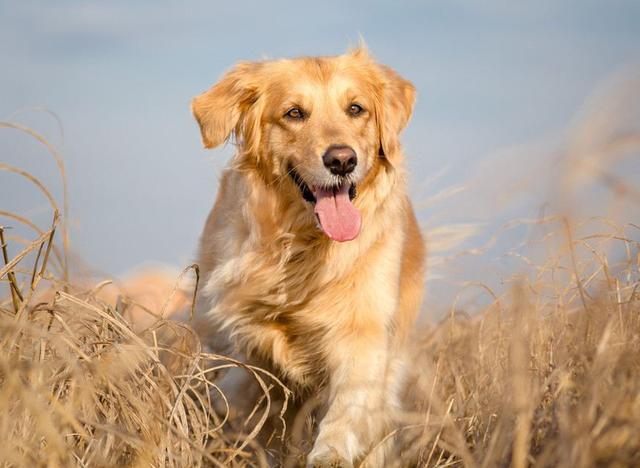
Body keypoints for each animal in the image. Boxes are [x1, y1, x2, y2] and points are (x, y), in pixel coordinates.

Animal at [191, 46, 424, 464]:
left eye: (356, 108)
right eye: (294, 113)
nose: (342, 160)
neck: (303, 245)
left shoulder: (364, 331)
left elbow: (349, 405)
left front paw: (330, 453)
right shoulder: (237, 333)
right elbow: (242, 391)